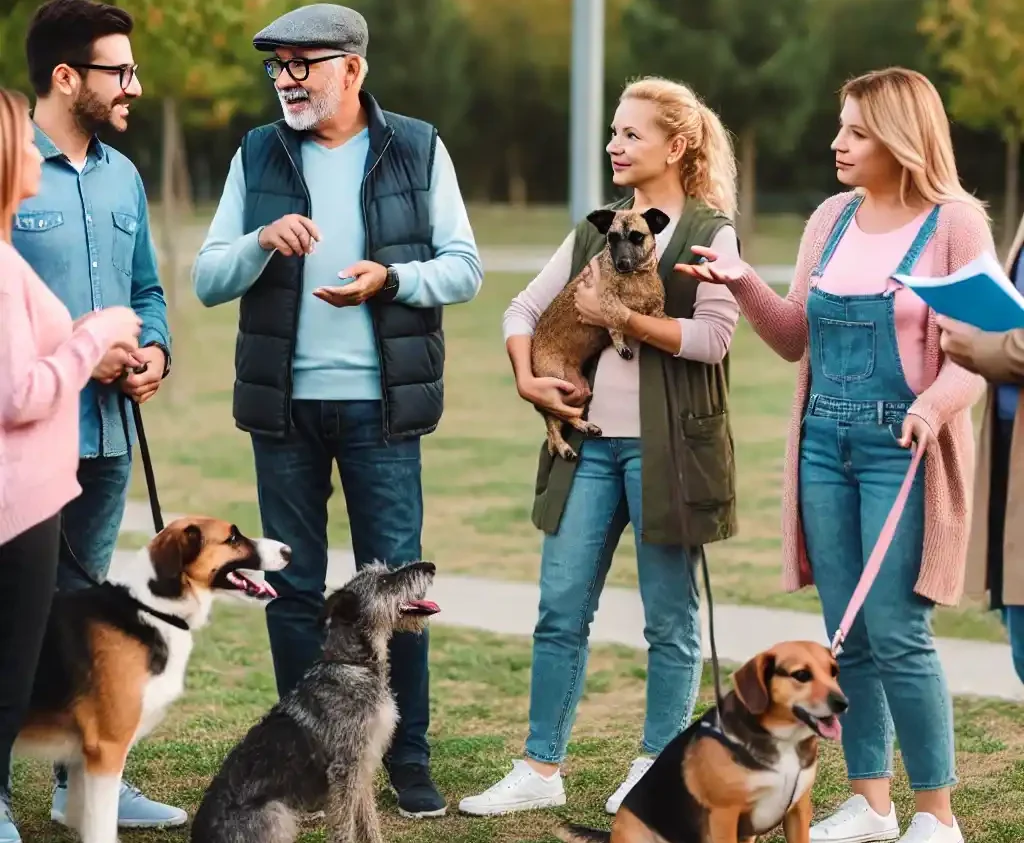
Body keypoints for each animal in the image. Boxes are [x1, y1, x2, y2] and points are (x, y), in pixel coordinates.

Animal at [12, 518, 292, 843]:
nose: (288, 551)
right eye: (233, 537)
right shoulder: (107, 749)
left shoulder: (86, 758)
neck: (151, 610)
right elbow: (102, 826)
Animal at [190, 561, 438, 843]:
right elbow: (344, 828)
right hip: (276, 814)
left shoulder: (362, 767)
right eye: (385, 581)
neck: (354, 664)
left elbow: (368, 821)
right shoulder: (345, 770)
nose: (430, 566)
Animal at [557, 639, 843, 843]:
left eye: (834, 672)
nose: (843, 703)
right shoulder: (724, 816)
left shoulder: (798, 811)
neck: (784, 740)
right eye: (801, 675)